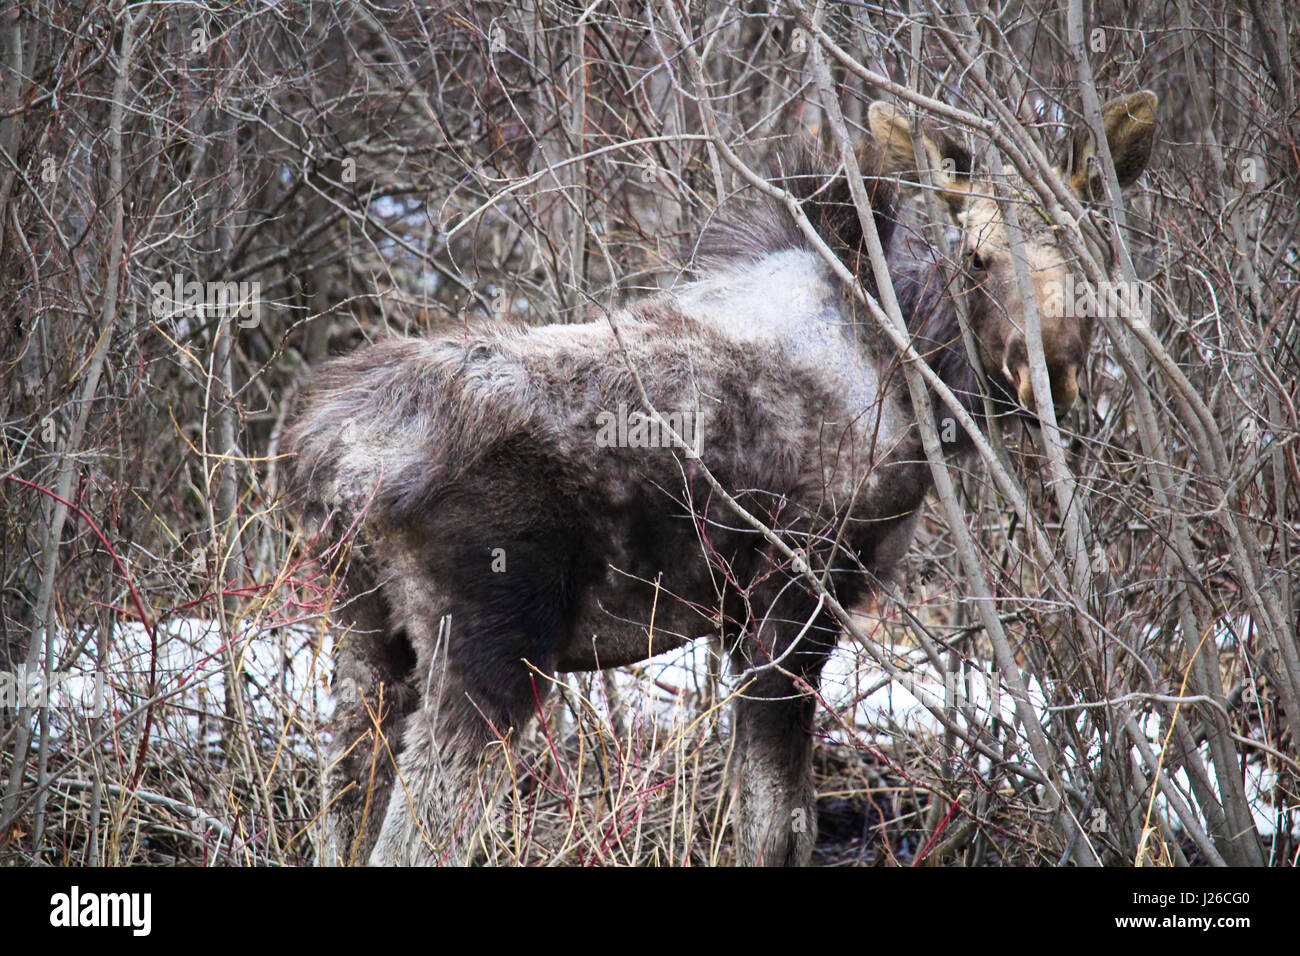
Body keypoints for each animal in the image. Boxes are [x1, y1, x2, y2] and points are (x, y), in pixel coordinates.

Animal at [284, 91, 1159, 868]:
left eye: (1092, 251)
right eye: (977, 256)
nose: (1049, 376)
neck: (917, 373)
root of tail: (332, 460)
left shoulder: (741, 620)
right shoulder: (792, 600)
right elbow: (777, 834)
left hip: (365, 642)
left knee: (339, 824)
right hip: (491, 650)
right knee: (410, 843)